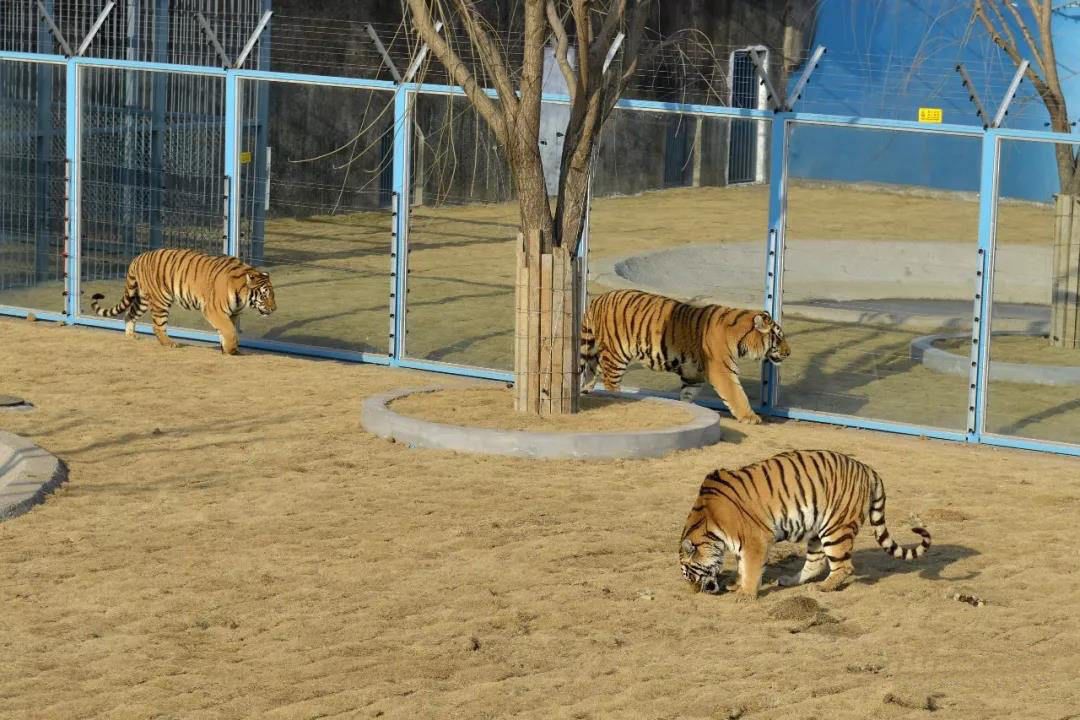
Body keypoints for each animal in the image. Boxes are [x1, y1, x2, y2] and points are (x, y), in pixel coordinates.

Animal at [89, 248, 276, 354]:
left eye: (273, 295)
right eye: (265, 295)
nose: (274, 309)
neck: (241, 293)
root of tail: (139, 257)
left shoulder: (232, 313)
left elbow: (227, 331)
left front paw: (227, 348)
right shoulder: (214, 310)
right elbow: (229, 331)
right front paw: (231, 350)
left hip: (142, 299)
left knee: (129, 314)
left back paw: (131, 336)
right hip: (161, 300)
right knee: (157, 326)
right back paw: (170, 343)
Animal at [578, 287, 790, 423]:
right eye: (779, 337)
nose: (788, 353)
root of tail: (598, 299)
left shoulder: (693, 375)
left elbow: (687, 395)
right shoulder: (722, 371)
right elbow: (736, 394)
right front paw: (750, 417)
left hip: (597, 356)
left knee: (589, 375)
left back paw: (584, 392)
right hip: (615, 356)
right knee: (610, 383)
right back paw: (617, 398)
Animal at [682, 451, 928, 604]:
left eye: (689, 574)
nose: (696, 593)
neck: (709, 525)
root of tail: (868, 469)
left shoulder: (755, 541)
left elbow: (750, 569)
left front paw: (745, 594)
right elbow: (743, 567)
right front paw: (736, 585)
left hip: (836, 529)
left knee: (844, 566)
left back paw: (822, 588)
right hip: (818, 531)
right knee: (815, 563)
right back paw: (789, 581)